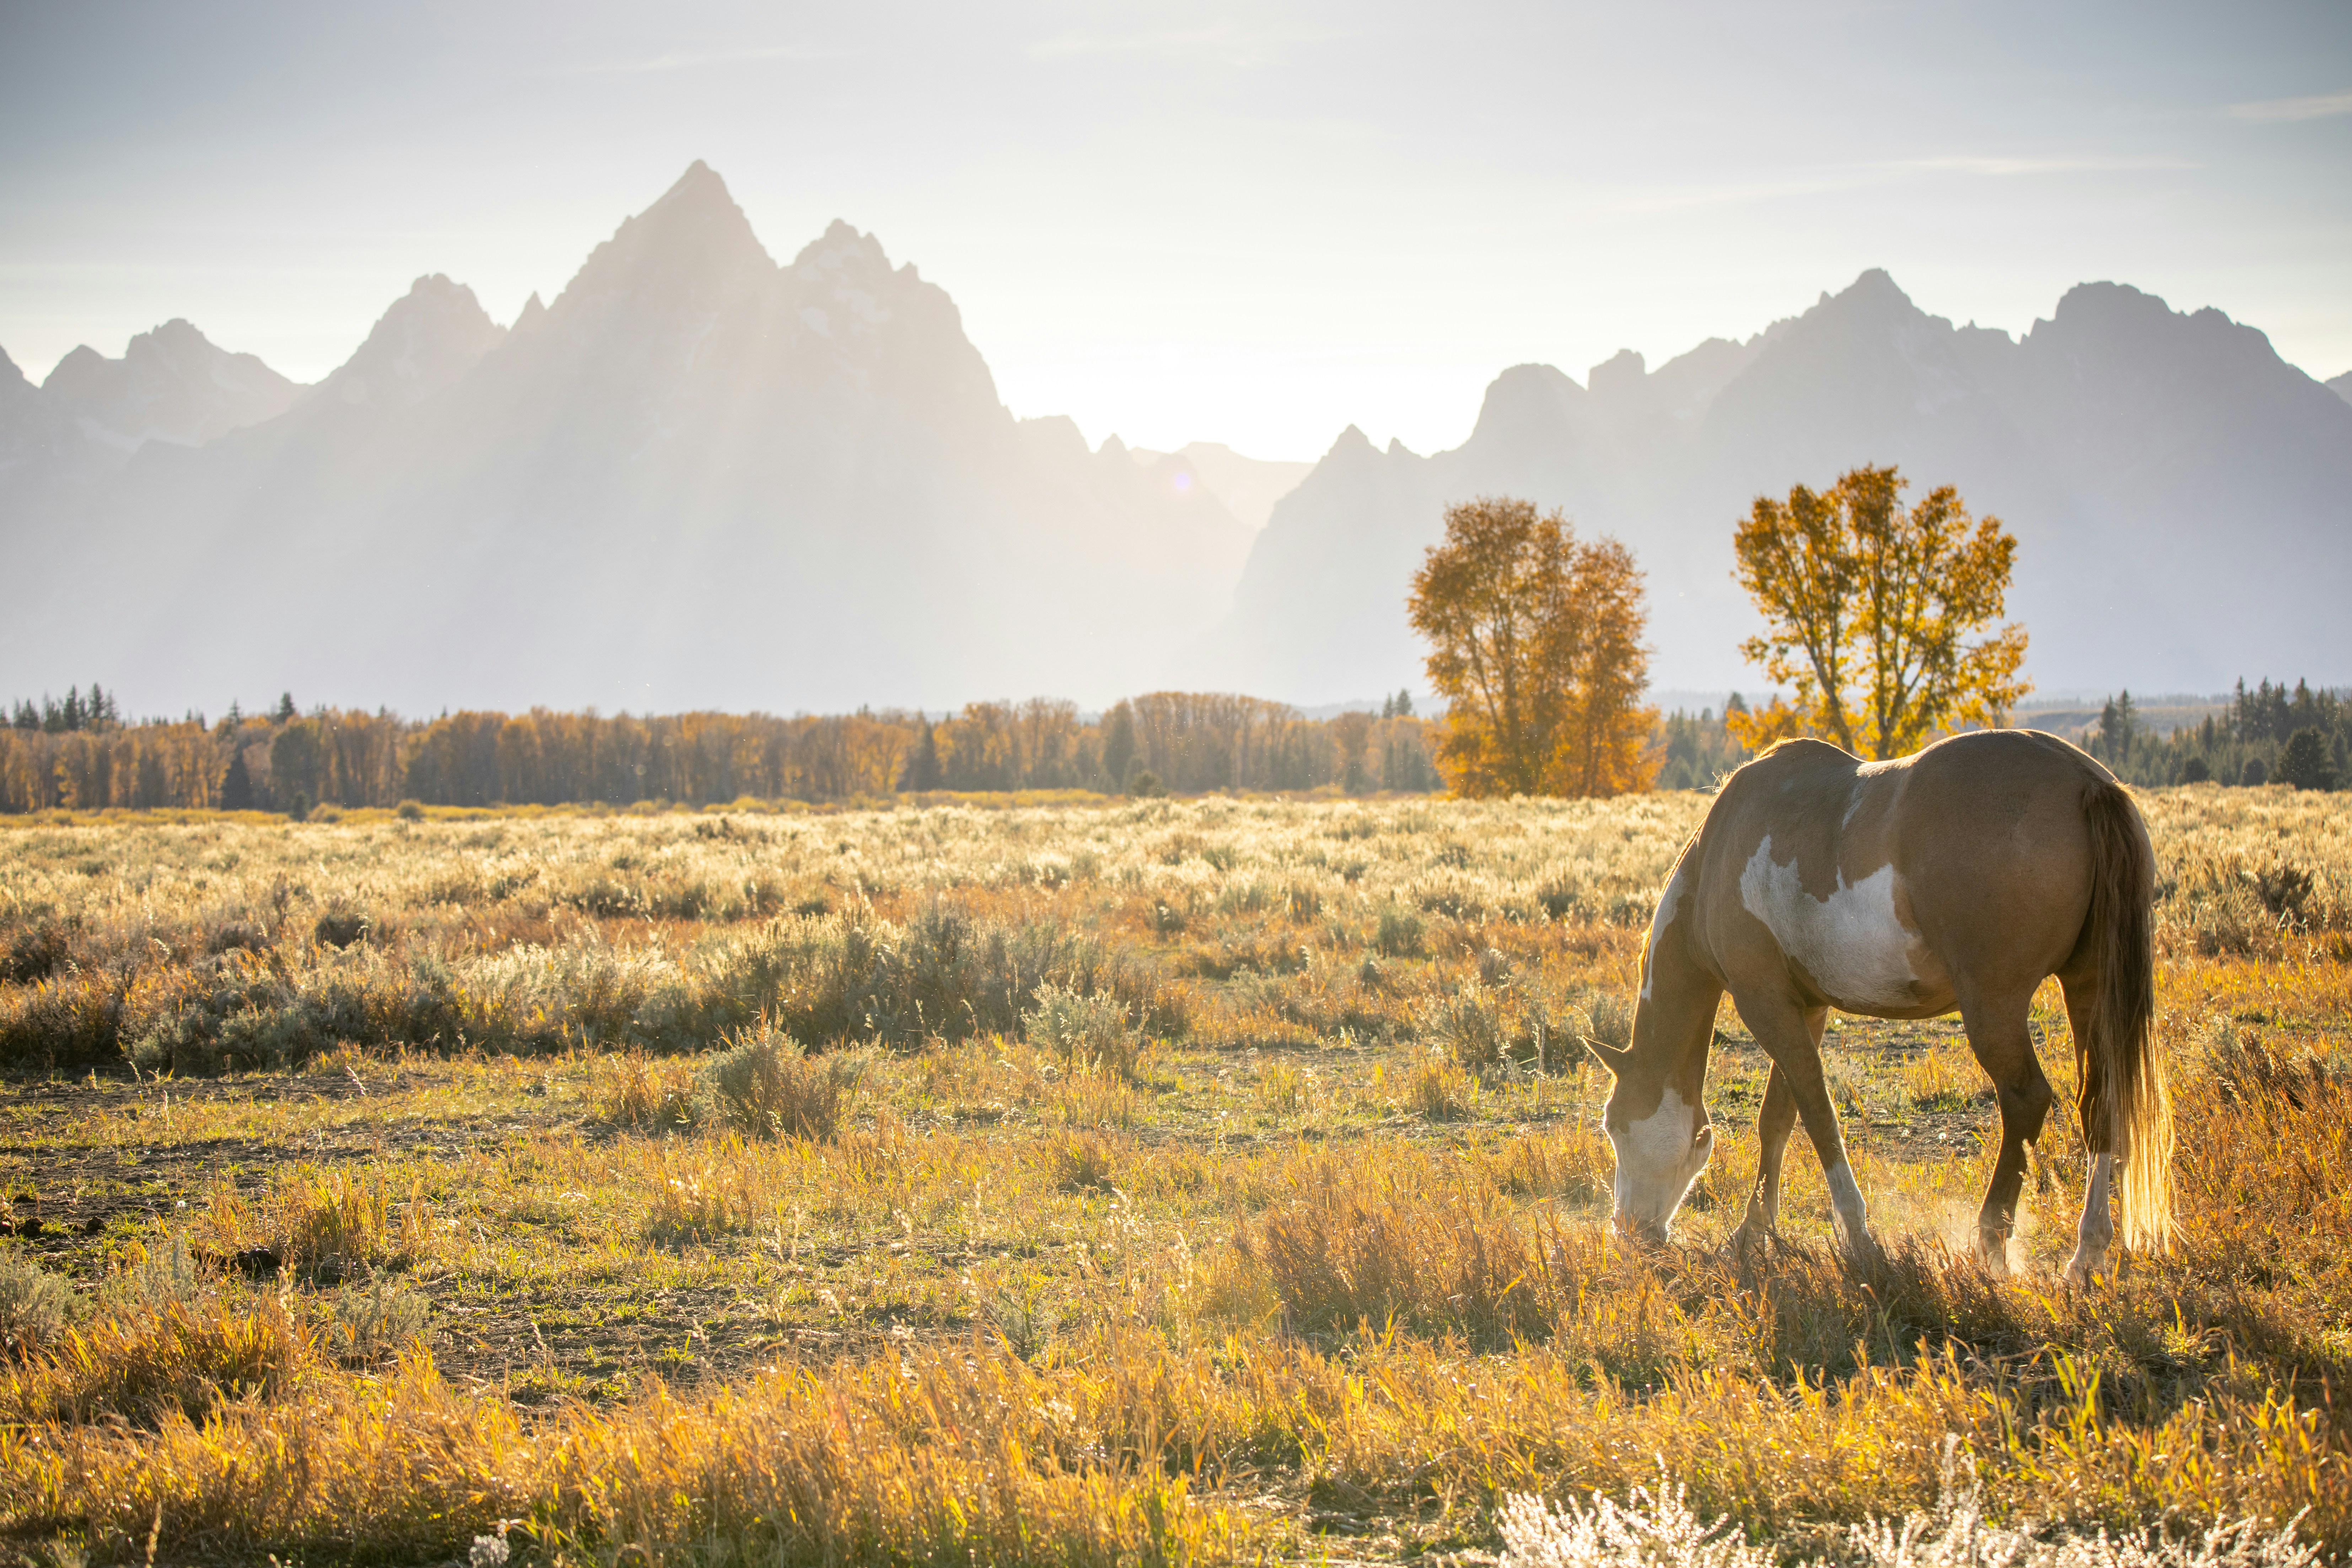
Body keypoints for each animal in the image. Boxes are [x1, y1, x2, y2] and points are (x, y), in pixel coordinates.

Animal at [1586, 728, 2169, 1284]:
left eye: (1614, 1125)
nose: (1626, 1232)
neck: (1719, 854)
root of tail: (2084, 782)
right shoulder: (1806, 1008)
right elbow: (1777, 1118)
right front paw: (1751, 1234)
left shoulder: (1763, 1002)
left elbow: (1817, 1115)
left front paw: (1857, 1237)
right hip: (2088, 986)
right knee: (2099, 1100)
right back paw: (2086, 1253)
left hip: (1993, 1005)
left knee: (2026, 1100)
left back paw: (1989, 1245)